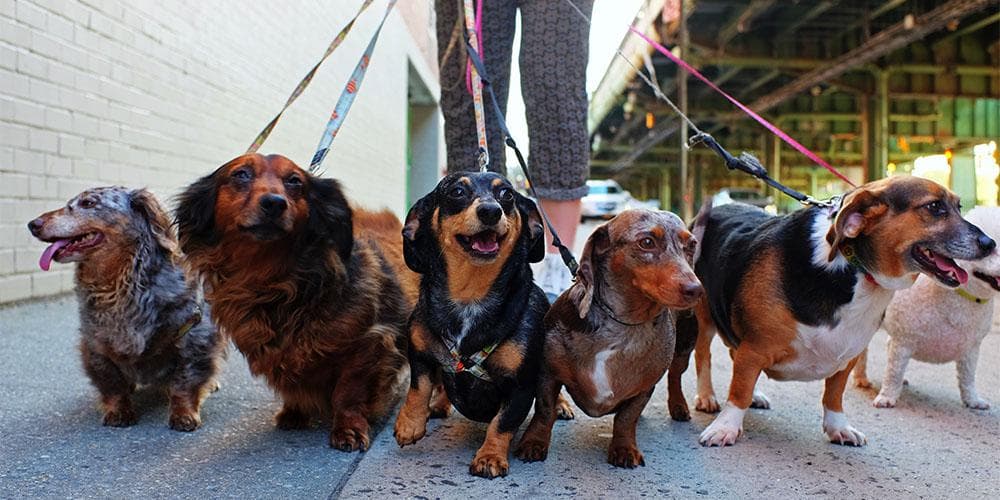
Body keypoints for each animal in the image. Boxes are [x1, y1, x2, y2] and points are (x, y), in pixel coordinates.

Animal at [852, 205, 1000, 408]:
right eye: (991, 249)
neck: (959, 294)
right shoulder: (903, 342)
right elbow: (893, 372)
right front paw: (887, 396)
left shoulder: (971, 350)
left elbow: (968, 379)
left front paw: (973, 400)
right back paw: (861, 379)